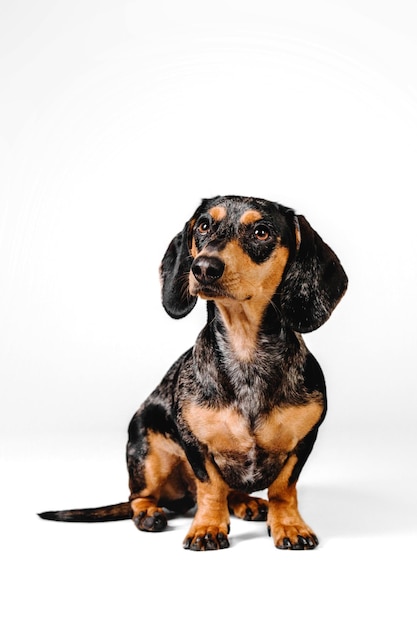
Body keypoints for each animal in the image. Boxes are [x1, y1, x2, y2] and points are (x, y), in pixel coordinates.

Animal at [39, 194, 346, 544]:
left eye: (262, 232)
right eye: (203, 225)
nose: (204, 267)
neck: (246, 354)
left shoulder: (304, 441)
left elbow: (283, 488)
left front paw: (290, 525)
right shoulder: (195, 444)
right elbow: (210, 487)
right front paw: (208, 527)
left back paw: (246, 502)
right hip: (145, 446)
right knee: (139, 496)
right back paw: (149, 513)